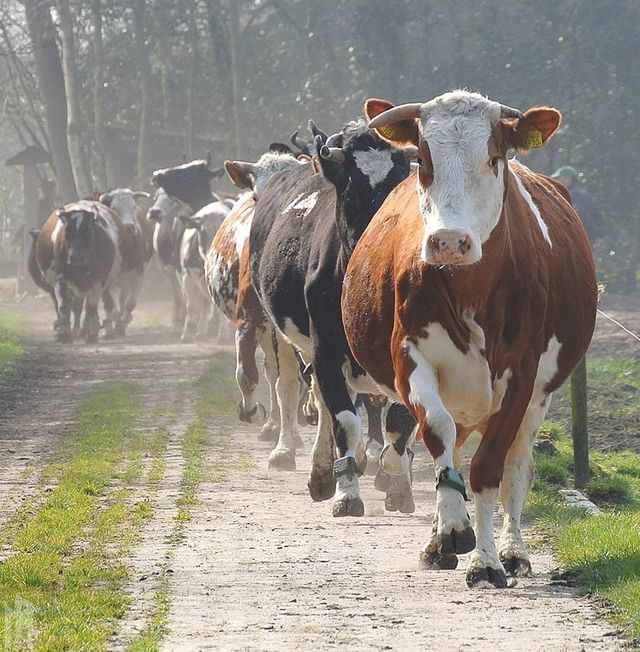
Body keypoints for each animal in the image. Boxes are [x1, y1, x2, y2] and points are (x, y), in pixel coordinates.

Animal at [34, 200, 147, 343]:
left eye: (88, 231)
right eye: (67, 232)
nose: (77, 257)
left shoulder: (100, 280)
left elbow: (91, 306)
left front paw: (92, 333)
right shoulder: (60, 278)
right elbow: (63, 305)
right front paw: (63, 333)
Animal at [249, 120, 414, 514]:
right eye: (353, 195)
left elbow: (399, 422)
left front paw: (397, 480)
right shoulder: (325, 349)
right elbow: (345, 421)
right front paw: (347, 492)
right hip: (292, 339)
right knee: (305, 394)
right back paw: (316, 468)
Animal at [340, 90, 597, 587]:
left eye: (494, 158)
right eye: (422, 159)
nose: (449, 241)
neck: (469, 290)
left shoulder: (521, 374)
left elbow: (490, 468)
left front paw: (488, 561)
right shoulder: (410, 358)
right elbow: (438, 436)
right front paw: (453, 529)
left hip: (540, 397)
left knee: (518, 467)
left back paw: (514, 551)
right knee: (452, 443)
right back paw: (438, 540)